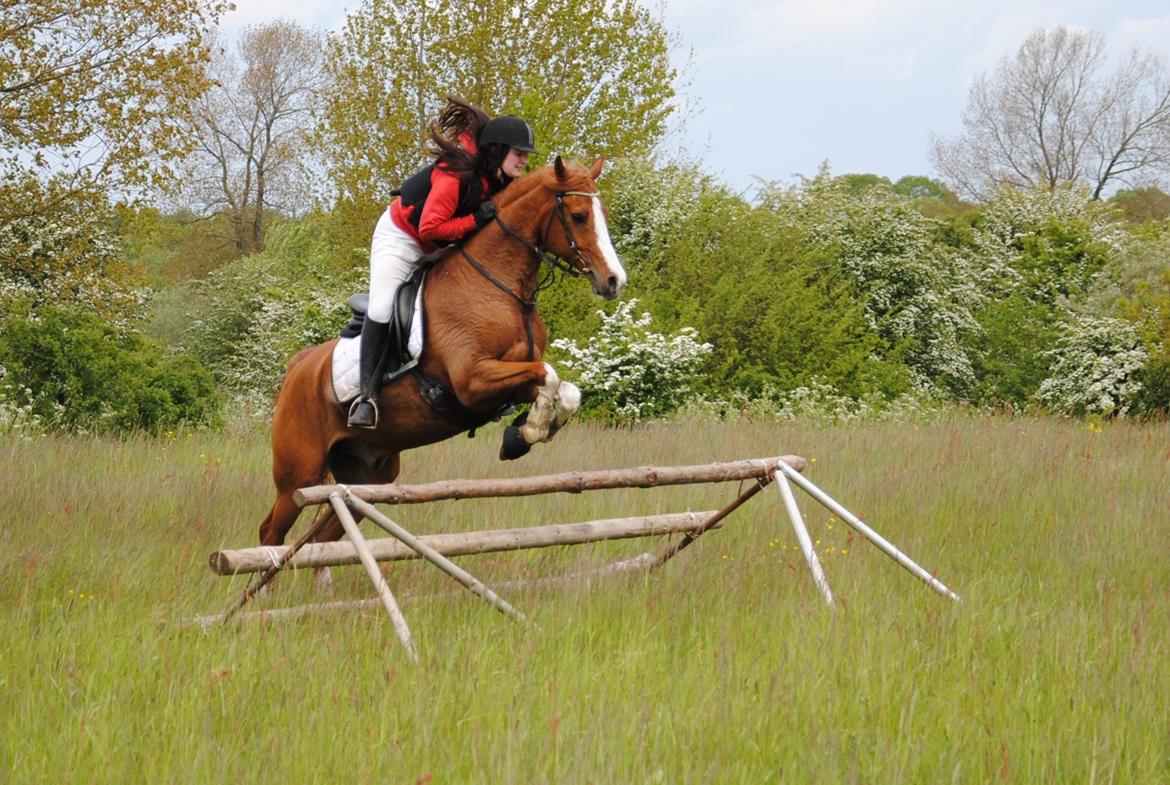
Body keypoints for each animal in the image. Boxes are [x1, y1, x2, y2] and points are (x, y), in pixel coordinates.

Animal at [253, 156, 622, 549]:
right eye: (579, 216)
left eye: (604, 213)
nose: (614, 281)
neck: (496, 285)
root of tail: (299, 365)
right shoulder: (472, 382)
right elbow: (549, 374)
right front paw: (531, 429)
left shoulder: (507, 379)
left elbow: (564, 389)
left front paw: (521, 435)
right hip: (298, 475)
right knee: (271, 531)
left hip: (368, 475)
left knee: (326, 533)